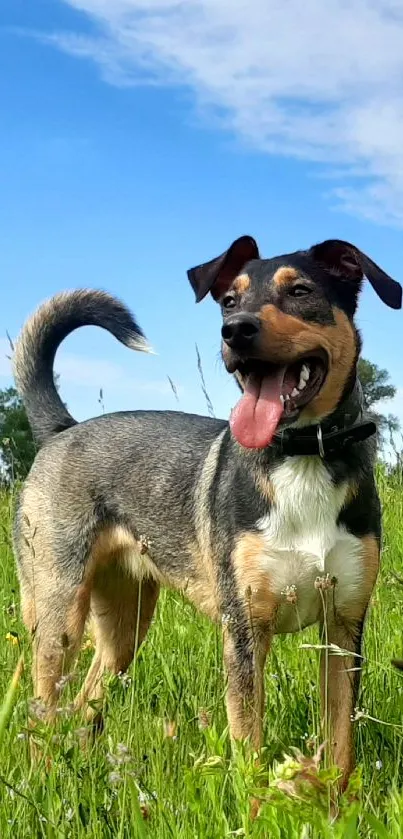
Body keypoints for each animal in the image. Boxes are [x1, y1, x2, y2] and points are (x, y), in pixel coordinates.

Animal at [11, 235, 400, 788]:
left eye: (300, 291)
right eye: (229, 300)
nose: (235, 331)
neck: (302, 454)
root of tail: (62, 429)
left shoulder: (343, 630)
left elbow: (341, 749)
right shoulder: (244, 631)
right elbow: (249, 749)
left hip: (124, 625)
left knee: (84, 704)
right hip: (58, 611)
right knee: (42, 712)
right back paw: (46, 779)